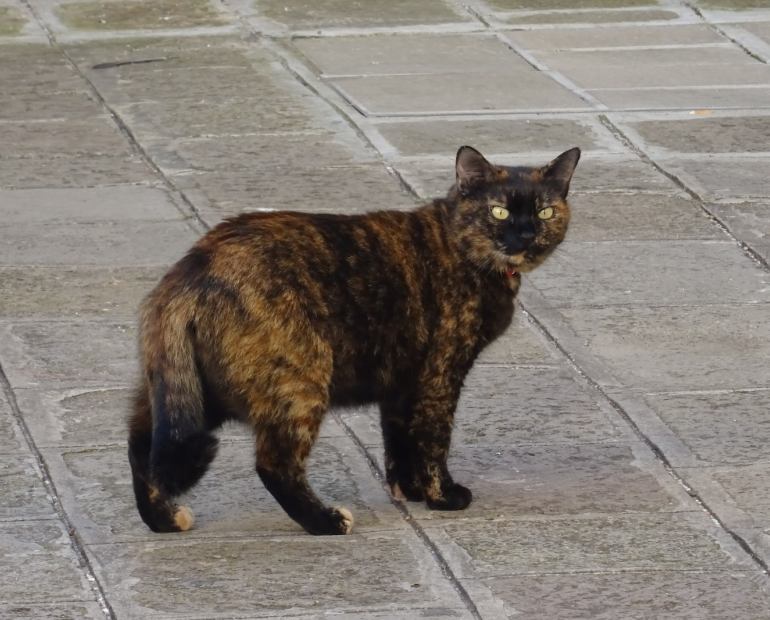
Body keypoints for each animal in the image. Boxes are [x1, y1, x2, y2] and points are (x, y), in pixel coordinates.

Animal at [129, 147, 580, 536]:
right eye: (498, 210)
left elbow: (399, 439)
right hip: (300, 380)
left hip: (182, 392)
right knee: (273, 464)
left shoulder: (403, 381)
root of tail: (190, 270)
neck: (460, 246)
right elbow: (433, 437)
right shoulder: (440, 372)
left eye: (544, 211)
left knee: (142, 445)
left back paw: (164, 520)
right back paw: (325, 522)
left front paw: (411, 490)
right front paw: (442, 496)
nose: (525, 235)